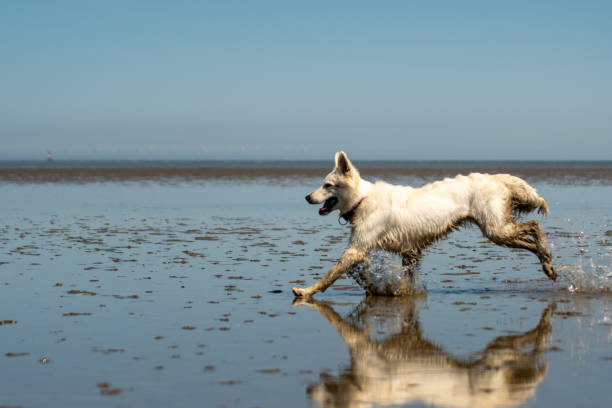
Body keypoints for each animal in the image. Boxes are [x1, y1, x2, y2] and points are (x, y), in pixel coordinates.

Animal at [292, 151, 556, 298]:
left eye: (327, 185)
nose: (306, 197)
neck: (362, 199)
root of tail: (496, 178)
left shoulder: (356, 249)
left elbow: (329, 274)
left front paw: (306, 291)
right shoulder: (409, 251)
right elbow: (406, 280)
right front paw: (400, 294)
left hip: (496, 230)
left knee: (533, 225)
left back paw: (546, 256)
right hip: (498, 230)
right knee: (529, 237)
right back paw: (547, 264)